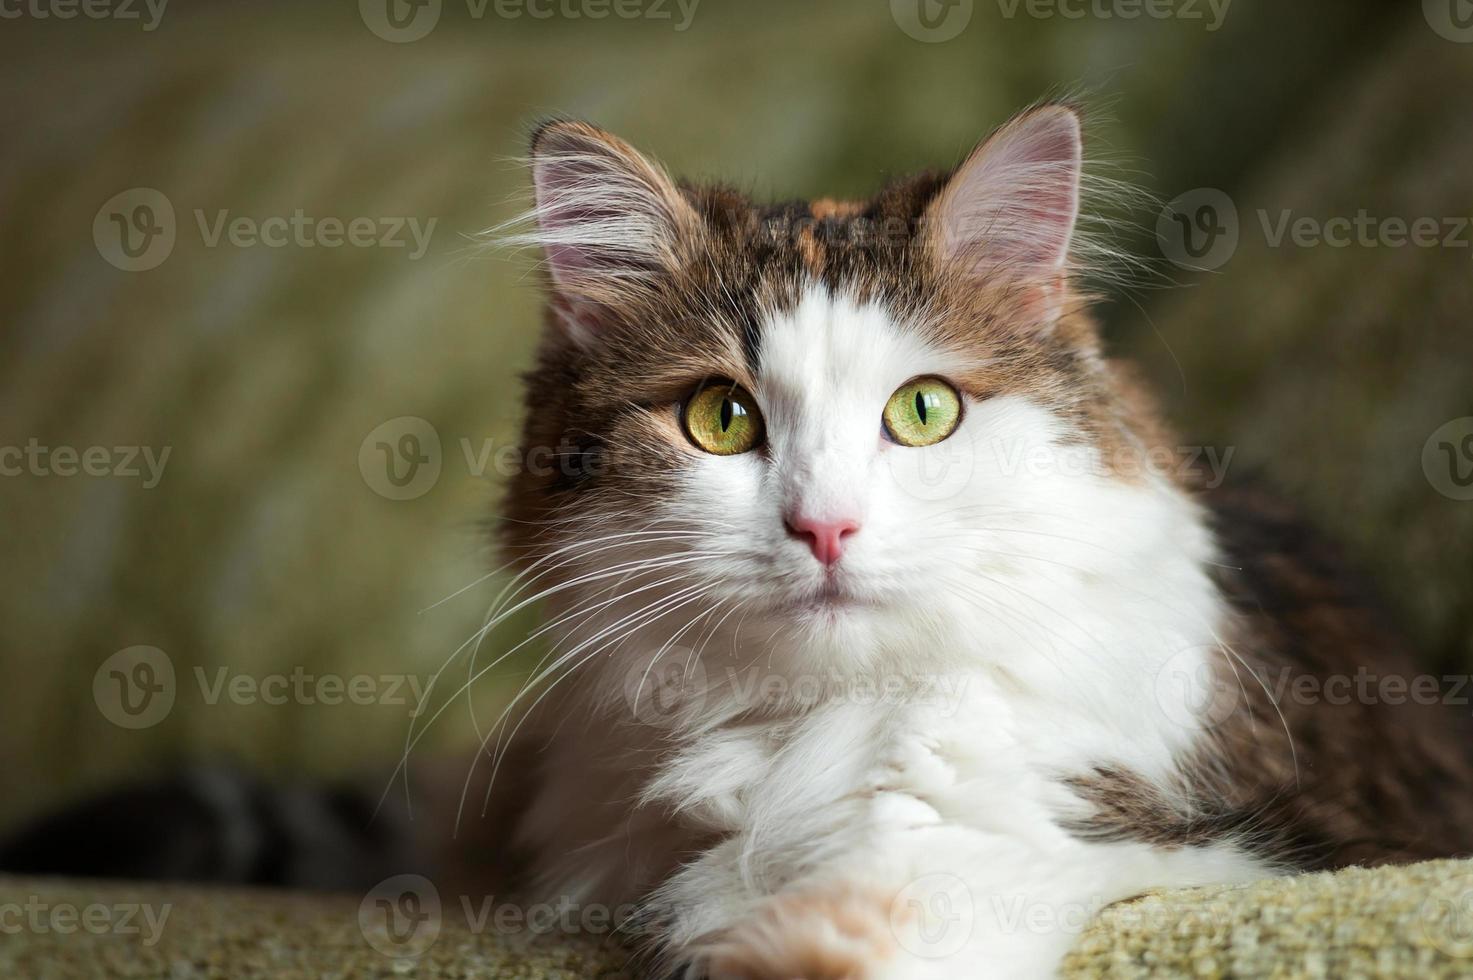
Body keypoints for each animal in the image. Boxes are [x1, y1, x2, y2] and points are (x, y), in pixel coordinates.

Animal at [8, 103, 1473, 972]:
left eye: (924, 409)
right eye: (721, 419)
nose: (823, 524)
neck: (807, 723)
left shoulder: (1202, 830)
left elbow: (892, 899)